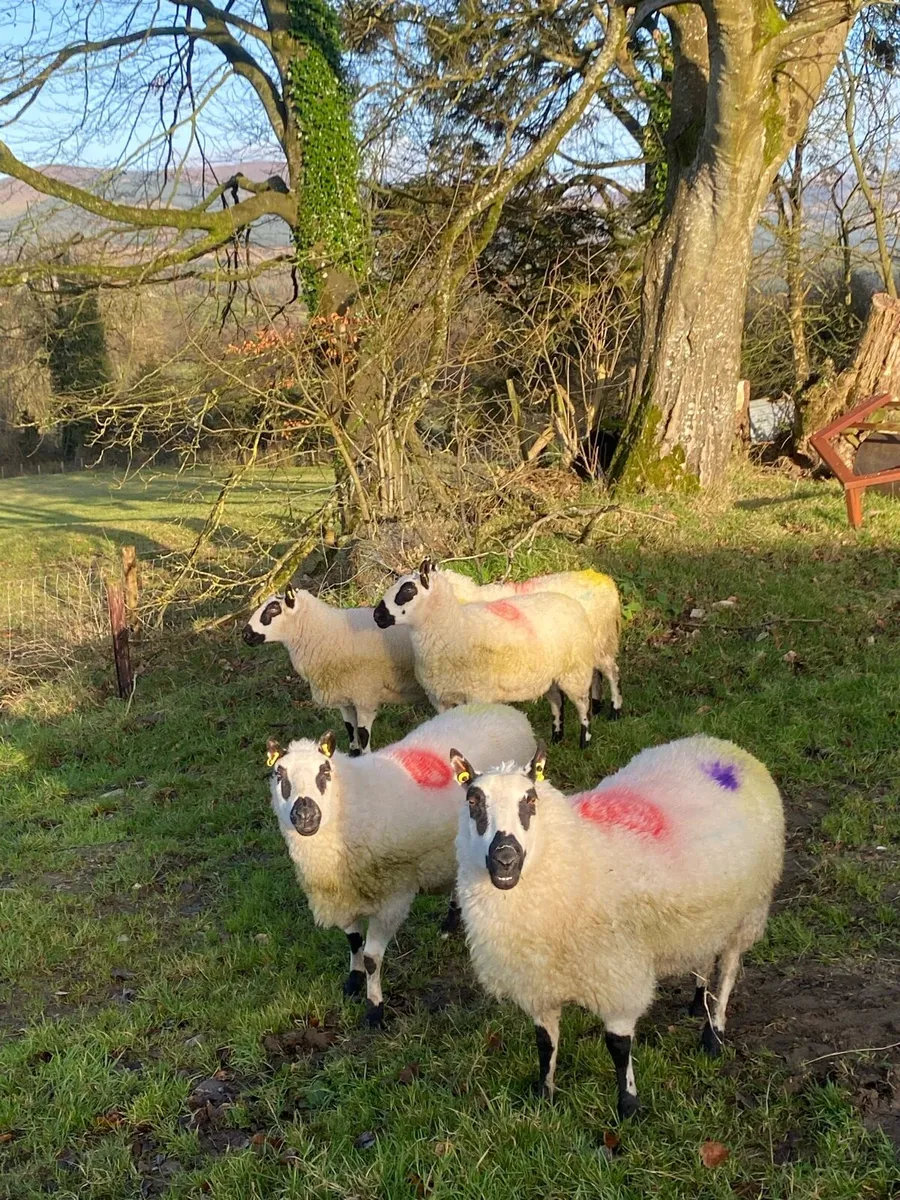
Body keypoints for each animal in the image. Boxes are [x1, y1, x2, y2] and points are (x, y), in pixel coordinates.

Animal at [242, 582, 425, 754]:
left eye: (273, 609)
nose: (245, 635)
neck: (327, 632)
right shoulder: (344, 697)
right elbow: (351, 732)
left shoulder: (365, 695)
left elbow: (363, 735)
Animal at [266, 703, 536, 1026]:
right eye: (279, 775)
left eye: (325, 772)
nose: (306, 814)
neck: (350, 801)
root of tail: (508, 711)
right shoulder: (345, 894)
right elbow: (353, 941)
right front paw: (353, 982)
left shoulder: (392, 897)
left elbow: (372, 958)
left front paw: (374, 1009)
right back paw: (450, 923)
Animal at [373, 560, 597, 748]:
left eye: (408, 590)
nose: (377, 616)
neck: (454, 629)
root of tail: (572, 603)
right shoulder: (441, 700)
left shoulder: (477, 696)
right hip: (550, 676)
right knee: (557, 702)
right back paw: (556, 738)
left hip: (576, 670)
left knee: (583, 705)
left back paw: (584, 742)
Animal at [442, 566, 623, 719]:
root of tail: (606, 581)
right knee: (596, 673)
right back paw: (597, 707)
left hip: (599, 641)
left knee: (611, 672)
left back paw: (615, 709)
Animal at [449, 735, 785, 1117]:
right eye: (473, 801)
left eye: (530, 800)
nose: (505, 858)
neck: (577, 854)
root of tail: (721, 746)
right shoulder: (539, 983)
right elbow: (545, 1043)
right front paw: (544, 1094)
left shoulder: (617, 977)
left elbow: (618, 1047)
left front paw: (628, 1105)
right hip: (708, 915)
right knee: (703, 955)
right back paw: (697, 1001)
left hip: (747, 911)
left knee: (727, 970)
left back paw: (713, 1033)